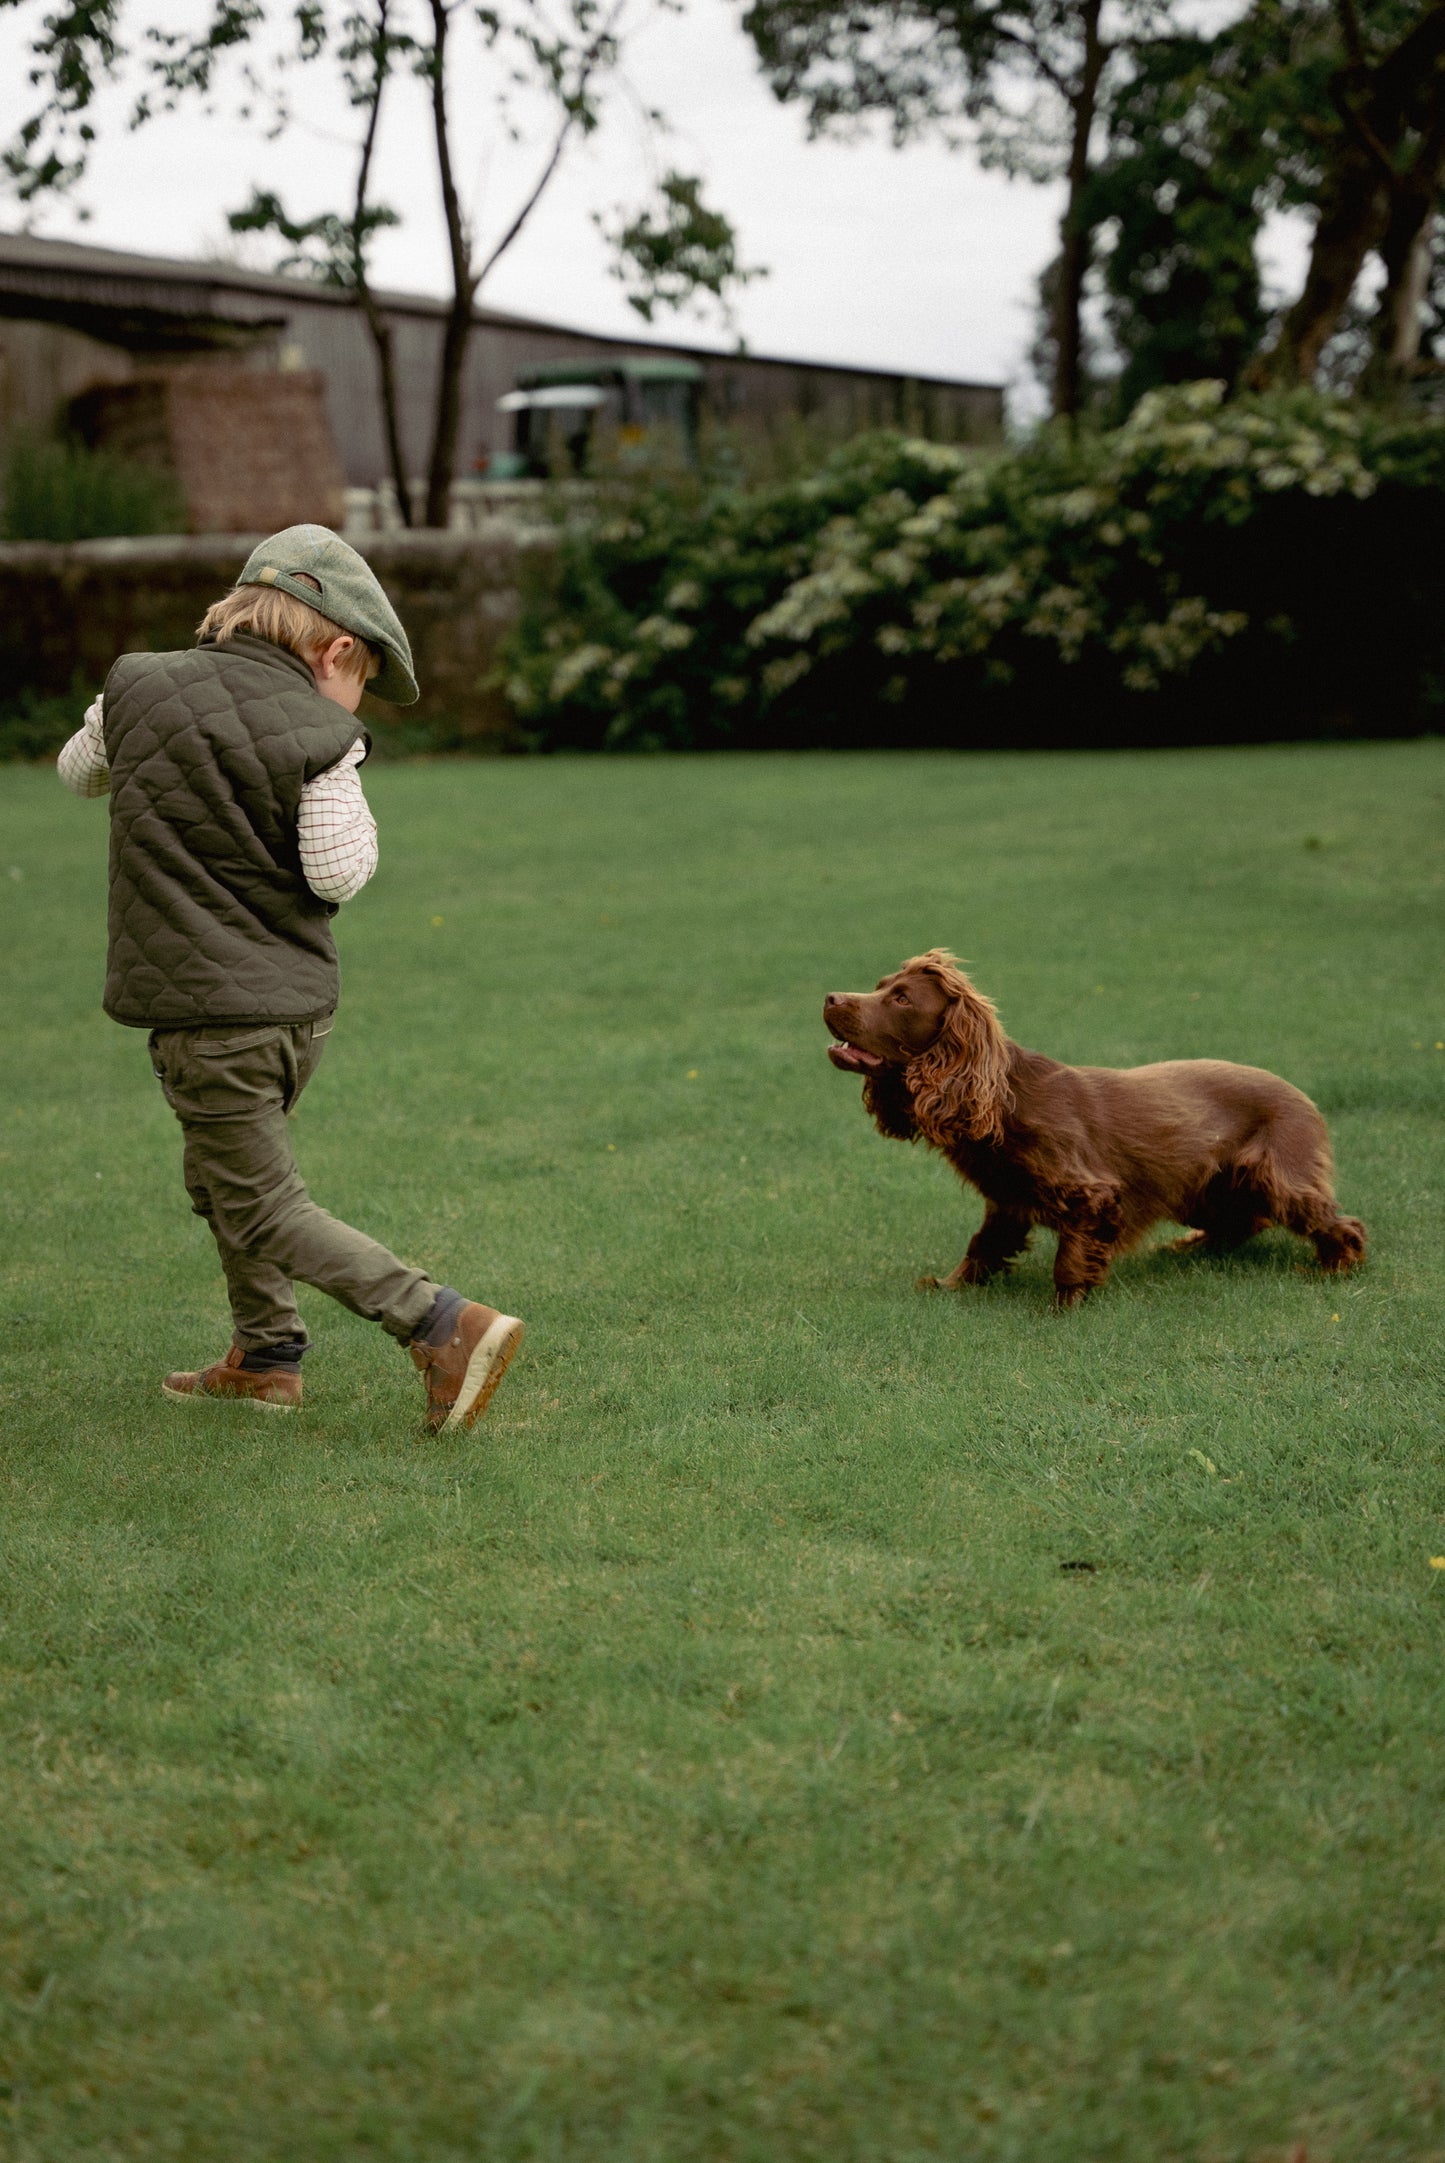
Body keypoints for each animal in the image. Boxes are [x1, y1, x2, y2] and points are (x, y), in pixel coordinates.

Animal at [822, 951, 1367, 1306]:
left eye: (901, 999)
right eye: (879, 985)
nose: (828, 997)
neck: (1000, 1100)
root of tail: (1303, 1095)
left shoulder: (1091, 1191)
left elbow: (1070, 1257)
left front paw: (1064, 1306)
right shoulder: (1008, 1197)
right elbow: (983, 1246)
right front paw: (949, 1287)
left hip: (1275, 1175)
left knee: (1338, 1222)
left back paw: (1334, 1266)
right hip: (1204, 1185)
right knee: (1242, 1221)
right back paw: (1189, 1246)